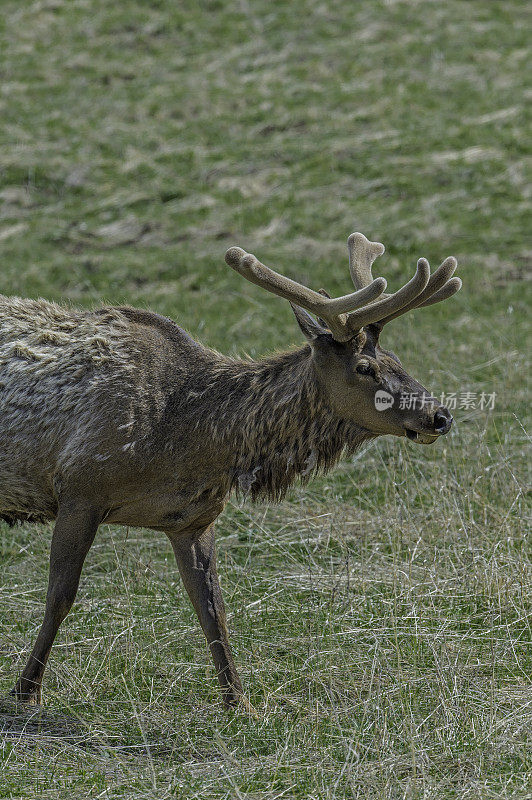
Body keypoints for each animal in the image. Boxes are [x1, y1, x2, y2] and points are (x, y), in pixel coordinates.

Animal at [2, 230, 462, 708]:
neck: (182, 443)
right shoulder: (80, 488)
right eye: (364, 367)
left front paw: (239, 701)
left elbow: (212, 607)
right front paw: (26, 690)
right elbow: (60, 595)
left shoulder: (193, 518)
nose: (440, 416)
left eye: (397, 359)